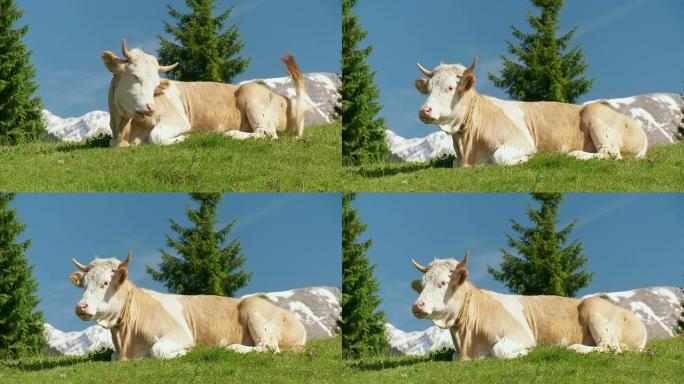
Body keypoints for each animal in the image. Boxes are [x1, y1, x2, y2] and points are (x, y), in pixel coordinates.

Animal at [68, 252, 306, 360]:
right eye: (84, 284)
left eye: (105, 283)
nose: (81, 307)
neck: (127, 343)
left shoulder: (180, 336)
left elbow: (158, 350)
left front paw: (187, 352)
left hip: (254, 311)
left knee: (268, 347)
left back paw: (234, 348)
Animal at [102, 39, 316, 147]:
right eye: (135, 76)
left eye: (156, 84)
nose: (150, 107)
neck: (126, 131)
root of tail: (285, 100)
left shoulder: (179, 121)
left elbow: (156, 138)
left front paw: (186, 137)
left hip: (252, 97)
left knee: (266, 133)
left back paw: (231, 134)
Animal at [412, 57, 648, 166]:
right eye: (429, 88)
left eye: (450, 88)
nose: (424, 110)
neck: (468, 149)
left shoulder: (521, 142)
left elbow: (499, 157)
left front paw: (528, 159)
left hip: (596, 116)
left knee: (610, 154)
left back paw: (575, 154)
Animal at [412, 252, 648, 360]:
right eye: (423, 284)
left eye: (443, 283)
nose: (417, 305)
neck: (467, 342)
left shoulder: (521, 336)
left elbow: (499, 350)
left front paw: (528, 352)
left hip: (595, 311)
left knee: (609, 347)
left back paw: (574, 347)